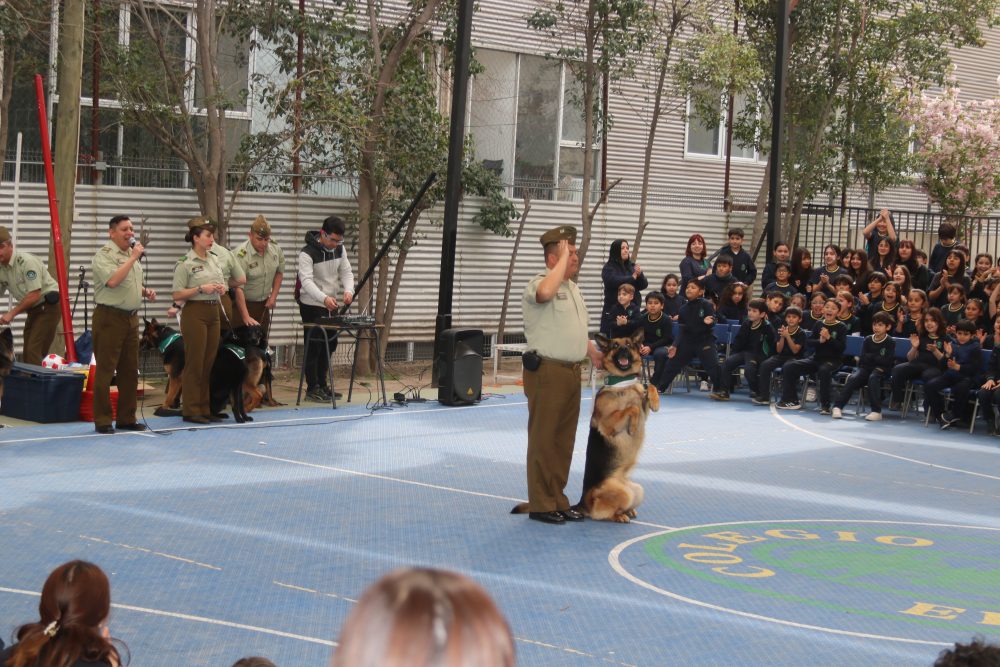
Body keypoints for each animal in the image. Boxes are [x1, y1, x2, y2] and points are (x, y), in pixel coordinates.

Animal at [576, 332, 660, 524]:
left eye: (628, 344)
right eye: (614, 345)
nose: (623, 350)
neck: (624, 382)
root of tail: (583, 502)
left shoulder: (644, 412)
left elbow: (650, 385)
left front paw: (655, 401)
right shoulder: (609, 424)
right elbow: (632, 408)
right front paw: (633, 427)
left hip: (638, 490)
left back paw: (629, 511)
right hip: (625, 493)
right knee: (602, 514)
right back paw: (619, 515)